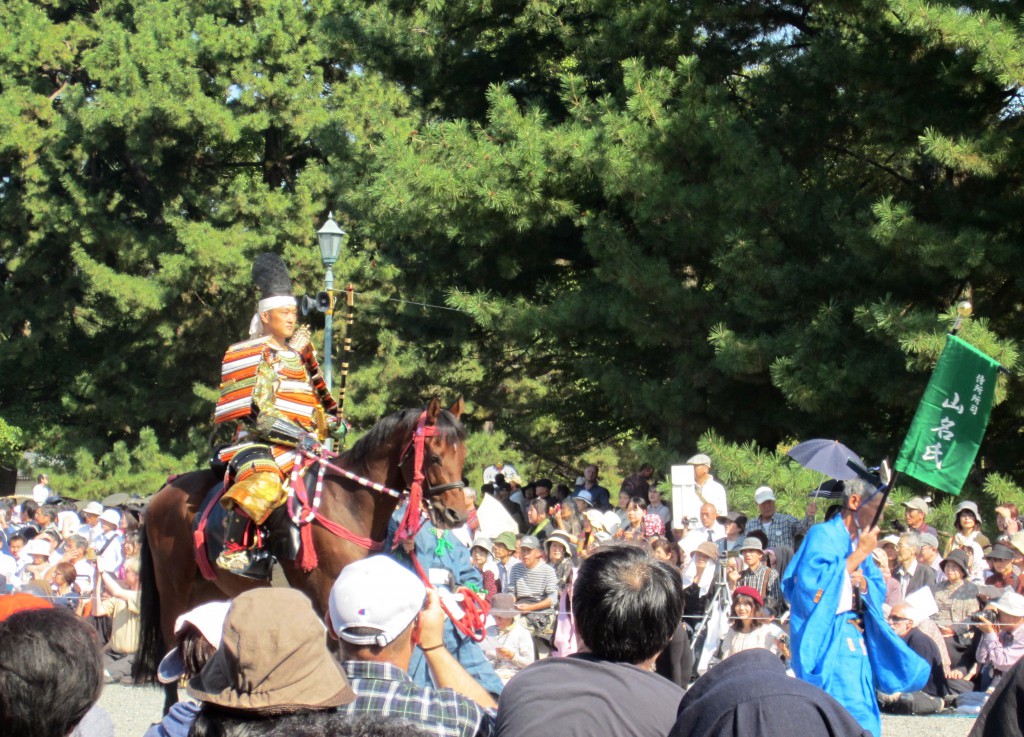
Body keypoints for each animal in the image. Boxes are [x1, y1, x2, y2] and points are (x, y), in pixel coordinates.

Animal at [135, 397, 468, 704]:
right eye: (435, 456)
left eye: (461, 455)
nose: (456, 515)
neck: (348, 503)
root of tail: (165, 490)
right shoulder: (327, 596)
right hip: (173, 590)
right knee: (170, 652)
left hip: (210, 589)